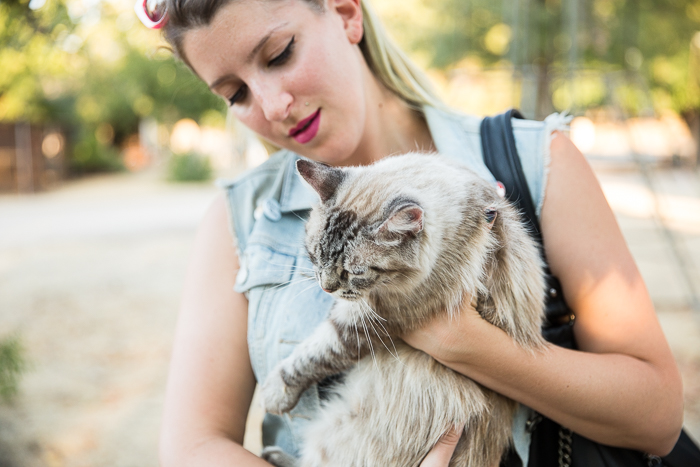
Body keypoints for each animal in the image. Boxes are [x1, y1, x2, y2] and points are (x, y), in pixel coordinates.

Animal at [260, 154, 544, 467]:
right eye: (314, 256)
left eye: (354, 272)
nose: (326, 288)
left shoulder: (369, 324)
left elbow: (309, 357)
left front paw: (274, 393)